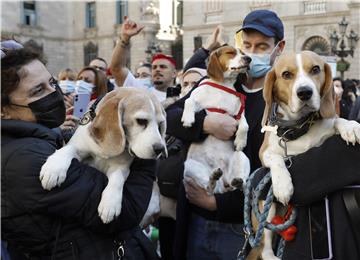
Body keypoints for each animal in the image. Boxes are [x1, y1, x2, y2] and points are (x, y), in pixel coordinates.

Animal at [39, 87, 167, 223]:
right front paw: (54, 168)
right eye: (141, 121)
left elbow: (117, 179)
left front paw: (110, 203)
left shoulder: (120, 167)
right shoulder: (79, 148)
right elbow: (68, 149)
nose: (160, 149)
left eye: (160, 124)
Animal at [181, 45, 252, 194]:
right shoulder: (196, 99)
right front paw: (188, 119)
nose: (249, 59)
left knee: (240, 185)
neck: (223, 85)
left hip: (242, 158)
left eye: (243, 53)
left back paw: (238, 182)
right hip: (190, 166)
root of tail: (224, 182)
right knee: (209, 188)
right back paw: (213, 178)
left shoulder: (238, 113)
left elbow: (244, 125)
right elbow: (188, 101)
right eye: (230, 53)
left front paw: (240, 141)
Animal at [253, 49, 360, 258]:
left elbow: (336, 120)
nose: (304, 92)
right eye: (286, 74)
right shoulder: (264, 153)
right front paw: (283, 185)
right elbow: (275, 157)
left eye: (316, 69)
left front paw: (351, 127)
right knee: (265, 247)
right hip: (266, 212)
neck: (299, 128)